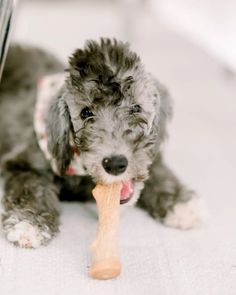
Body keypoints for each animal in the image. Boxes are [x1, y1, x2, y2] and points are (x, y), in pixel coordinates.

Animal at [0, 38, 206, 249]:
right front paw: (28, 224)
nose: (115, 164)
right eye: (86, 113)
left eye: (136, 108)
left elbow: (159, 172)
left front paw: (181, 204)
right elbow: (31, 188)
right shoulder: (24, 163)